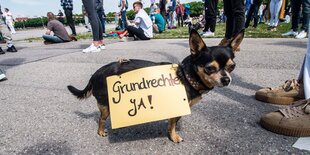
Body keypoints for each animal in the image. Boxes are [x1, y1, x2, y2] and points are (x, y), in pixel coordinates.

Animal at [68, 29, 245, 143]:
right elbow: (173, 124)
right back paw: (100, 132)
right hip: (106, 106)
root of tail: (95, 74)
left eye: (232, 67)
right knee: (101, 119)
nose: (226, 79)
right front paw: (174, 137)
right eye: (210, 68)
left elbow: (172, 123)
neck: (187, 76)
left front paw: (171, 133)